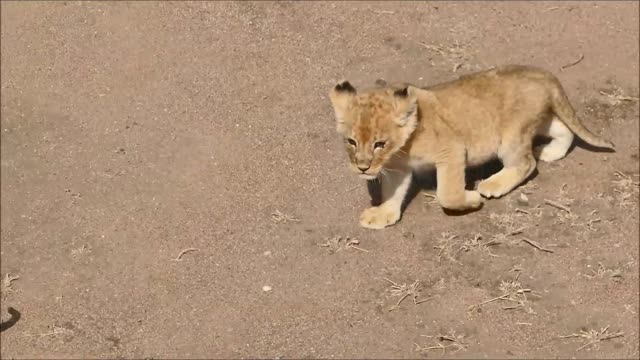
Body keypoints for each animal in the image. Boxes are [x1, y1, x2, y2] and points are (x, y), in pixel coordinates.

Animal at [330, 64, 616, 228]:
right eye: (352, 141)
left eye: (379, 143)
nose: (363, 168)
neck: (401, 149)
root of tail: (542, 74)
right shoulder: (398, 167)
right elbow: (393, 192)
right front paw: (383, 215)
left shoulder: (452, 151)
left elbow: (448, 194)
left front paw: (472, 199)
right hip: (539, 119)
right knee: (563, 128)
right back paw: (550, 152)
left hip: (511, 136)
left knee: (527, 163)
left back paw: (493, 184)